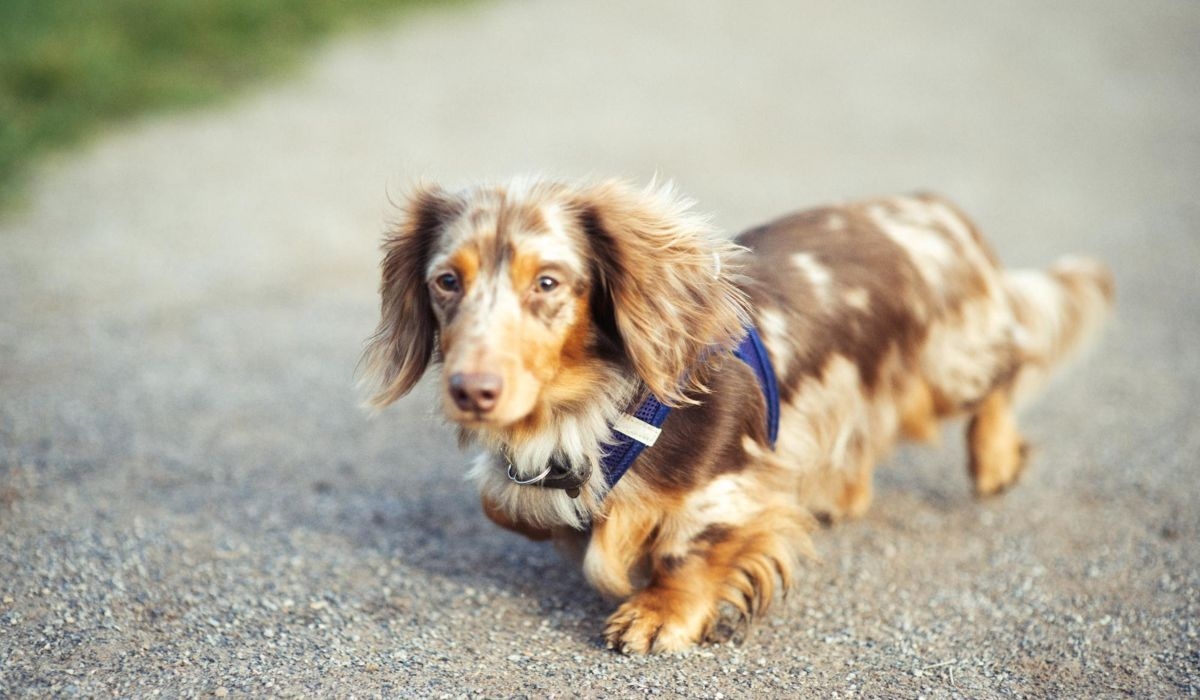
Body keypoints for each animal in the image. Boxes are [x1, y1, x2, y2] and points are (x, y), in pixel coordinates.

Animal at [357, 177, 1113, 653]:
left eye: (548, 282)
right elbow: (510, 503)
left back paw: (994, 458)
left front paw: (660, 612)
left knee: (1008, 370)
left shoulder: (726, 485)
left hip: (951, 361)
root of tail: (935, 210)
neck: (591, 410)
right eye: (445, 281)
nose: (472, 390)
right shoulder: (522, 476)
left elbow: (688, 547)